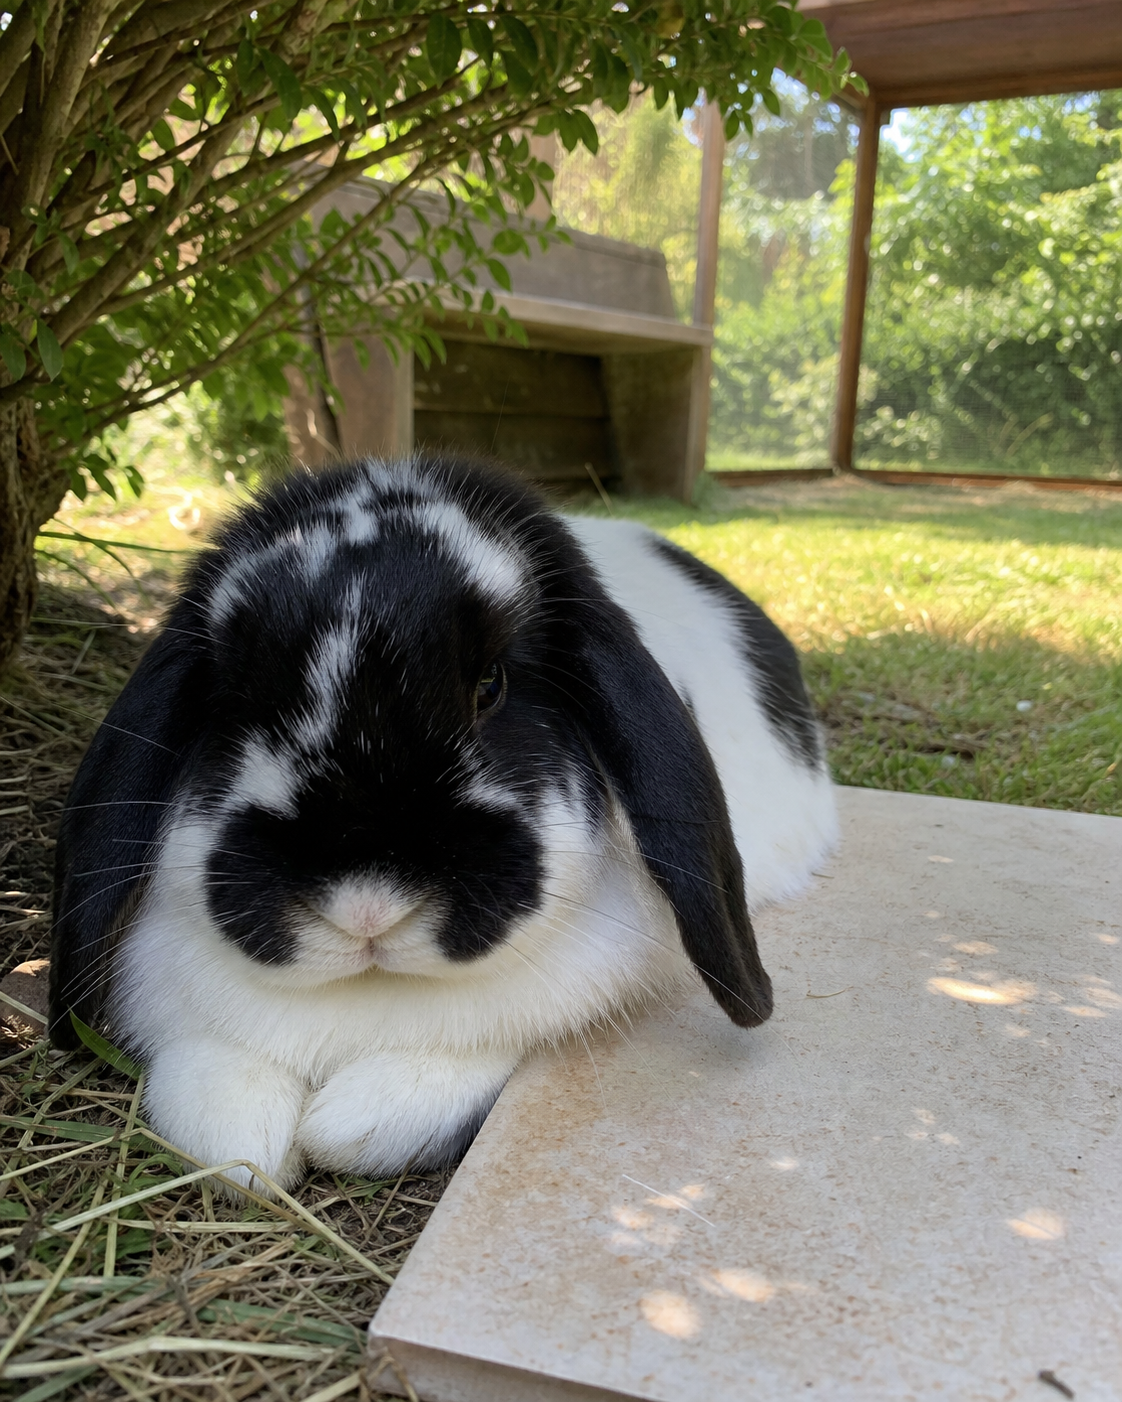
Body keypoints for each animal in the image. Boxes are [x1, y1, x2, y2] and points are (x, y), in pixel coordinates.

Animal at [49, 454, 836, 1193]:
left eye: (491, 686)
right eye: (236, 701)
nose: (365, 907)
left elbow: (385, 1112)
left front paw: (341, 1126)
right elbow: (212, 1108)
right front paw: (253, 1146)